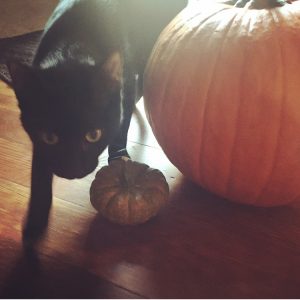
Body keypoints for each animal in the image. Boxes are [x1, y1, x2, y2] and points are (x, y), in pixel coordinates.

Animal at [7, 0, 188, 247]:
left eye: (93, 135)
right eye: (50, 137)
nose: (72, 169)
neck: (73, 45)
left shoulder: (123, 87)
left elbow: (121, 125)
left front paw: (119, 158)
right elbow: (40, 169)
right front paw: (36, 220)